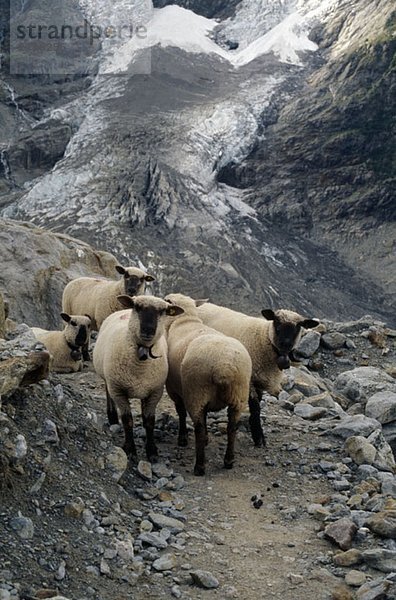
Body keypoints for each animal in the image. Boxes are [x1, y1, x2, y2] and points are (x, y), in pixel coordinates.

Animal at [165, 292, 252, 476]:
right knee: (232, 427)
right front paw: (206, 439)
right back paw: (229, 460)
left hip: (195, 392)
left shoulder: (174, 390)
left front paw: (183, 438)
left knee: (197, 427)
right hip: (238, 395)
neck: (186, 320)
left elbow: (181, 413)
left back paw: (199, 466)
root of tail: (224, 367)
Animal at [198, 304, 318, 450]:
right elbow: (255, 407)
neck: (263, 337)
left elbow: (258, 405)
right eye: (276, 321)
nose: (285, 344)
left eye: (299, 326)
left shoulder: (259, 379)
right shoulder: (249, 379)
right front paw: (258, 437)